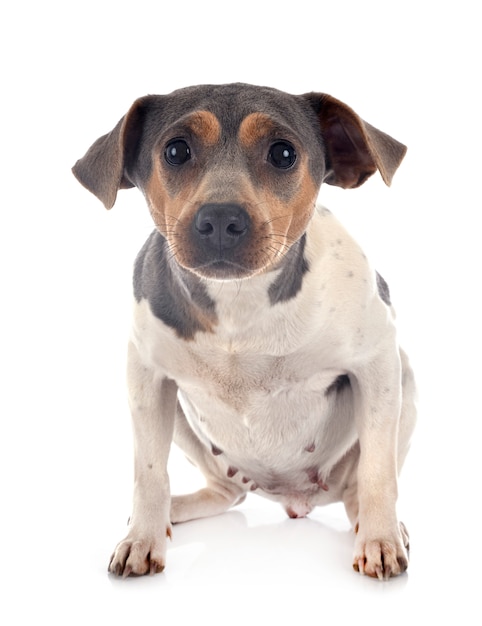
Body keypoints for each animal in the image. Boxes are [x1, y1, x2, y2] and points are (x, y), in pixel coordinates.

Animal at [73, 80, 416, 576]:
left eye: (283, 154)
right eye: (176, 150)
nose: (220, 218)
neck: (240, 301)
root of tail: (293, 497)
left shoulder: (378, 363)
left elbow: (378, 471)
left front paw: (380, 540)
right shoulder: (146, 379)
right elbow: (149, 473)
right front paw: (142, 538)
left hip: (404, 383)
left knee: (358, 490)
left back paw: (379, 526)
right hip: (187, 426)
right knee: (227, 493)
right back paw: (170, 513)